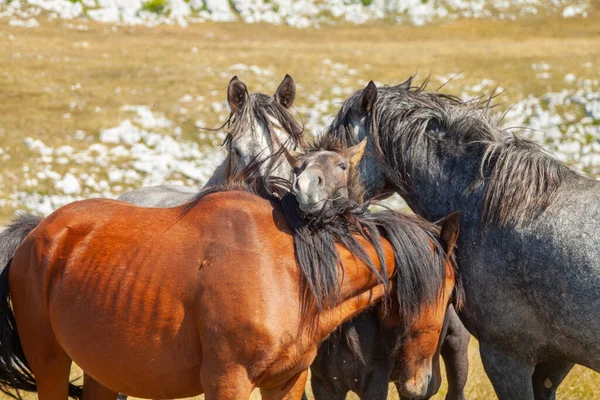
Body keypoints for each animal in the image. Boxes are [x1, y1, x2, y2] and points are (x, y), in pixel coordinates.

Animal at [0, 148, 460, 400]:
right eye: (451, 287)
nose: (421, 384)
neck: (288, 272)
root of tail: (37, 231)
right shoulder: (228, 381)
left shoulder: (287, 382)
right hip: (52, 365)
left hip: (102, 370)